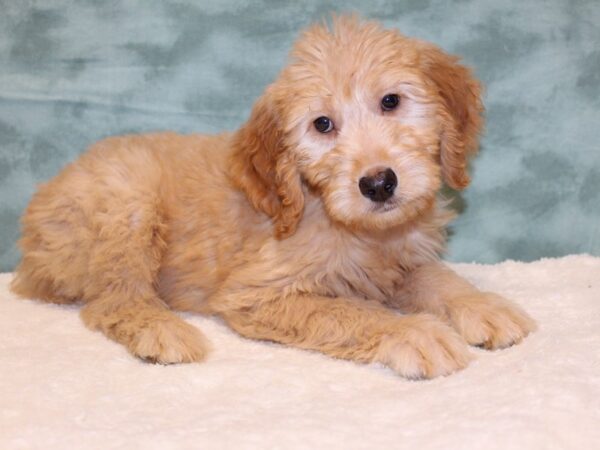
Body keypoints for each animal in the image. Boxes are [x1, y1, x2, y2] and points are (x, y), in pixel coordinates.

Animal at [10, 15, 536, 378]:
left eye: (391, 101)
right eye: (322, 125)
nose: (378, 184)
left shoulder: (402, 261)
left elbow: (439, 279)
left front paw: (483, 306)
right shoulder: (257, 294)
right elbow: (350, 311)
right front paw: (413, 331)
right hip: (128, 204)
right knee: (111, 301)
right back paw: (162, 330)